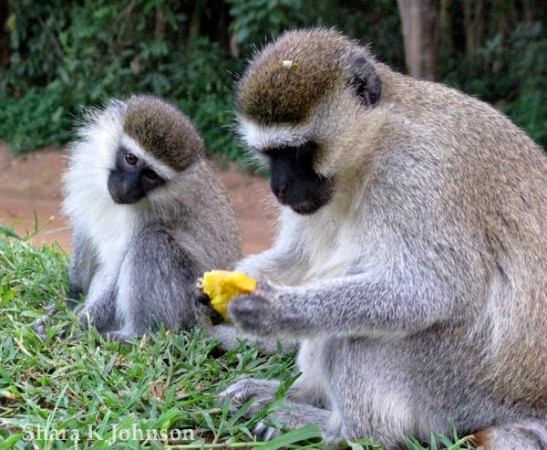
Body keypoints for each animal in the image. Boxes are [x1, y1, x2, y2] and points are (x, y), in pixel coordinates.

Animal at [34, 96, 240, 342]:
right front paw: (71, 300)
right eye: (130, 159)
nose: (127, 187)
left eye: (151, 175)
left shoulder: (155, 214)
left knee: (152, 242)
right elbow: (86, 234)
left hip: (189, 310)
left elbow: (117, 275)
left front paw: (73, 328)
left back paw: (135, 336)